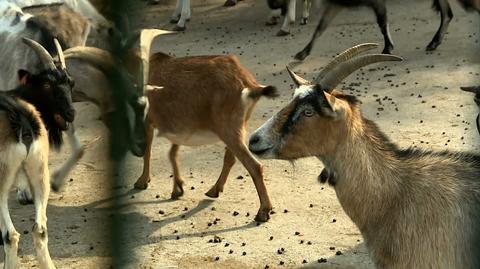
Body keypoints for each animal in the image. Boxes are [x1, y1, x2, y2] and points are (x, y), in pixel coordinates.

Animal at [294, 0, 478, 60]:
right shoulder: (337, 3)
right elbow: (320, 27)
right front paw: (302, 53)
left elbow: (382, 22)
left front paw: (387, 48)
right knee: (447, 13)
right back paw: (433, 42)